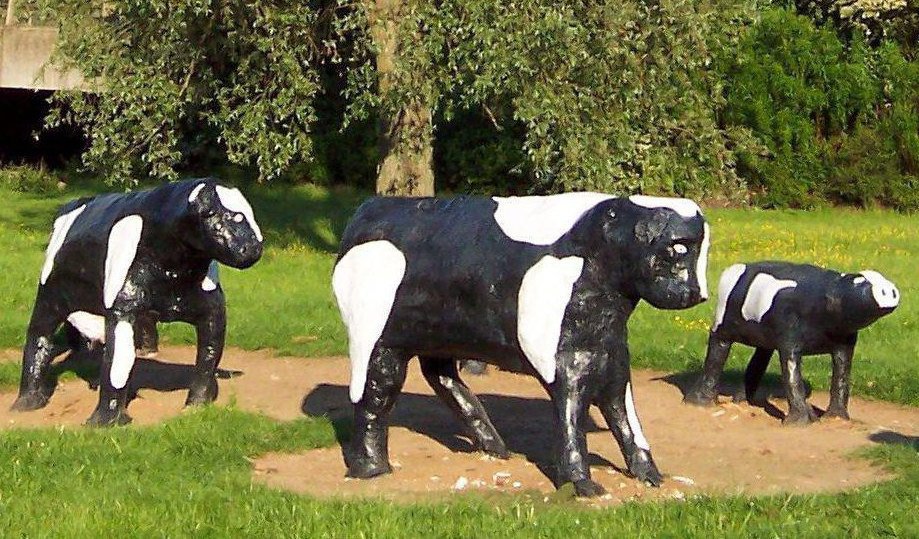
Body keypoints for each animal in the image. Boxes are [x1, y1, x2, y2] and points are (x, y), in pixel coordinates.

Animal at [11, 178, 263, 426]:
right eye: (213, 213)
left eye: (251, 215)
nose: (253, 248)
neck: (175, 268)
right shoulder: (122, 307)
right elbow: (117, 365)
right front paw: (104, 422)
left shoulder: (211, 307)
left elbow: (208, 357)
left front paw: (196, 406)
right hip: (50, 293)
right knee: (39, 335)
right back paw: (28, 401)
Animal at [332, 193, 710, 497]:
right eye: (677, 248)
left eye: (702, 252)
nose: (698, 293)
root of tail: (367, 208)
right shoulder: (563, 364)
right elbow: (571, 421)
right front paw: (582, 485)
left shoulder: (611, 360)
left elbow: (627, 420)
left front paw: (651, 476)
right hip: (375, 341)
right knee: (374, 397)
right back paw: (371, 470)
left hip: (438, 338)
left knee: (442, 378)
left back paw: (497, 448)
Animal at [684, 262, 899, 424]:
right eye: (859, 280)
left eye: (879, 275)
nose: (889, 288)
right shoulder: (789, 338)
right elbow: (792, 376)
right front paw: (801, 421)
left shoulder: (845, 343)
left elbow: (841, 377)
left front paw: (837, 418)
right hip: (721, 327)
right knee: (716, 355)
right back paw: (698, 401)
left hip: (764, 340)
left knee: (757, 360)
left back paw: (742, 400)